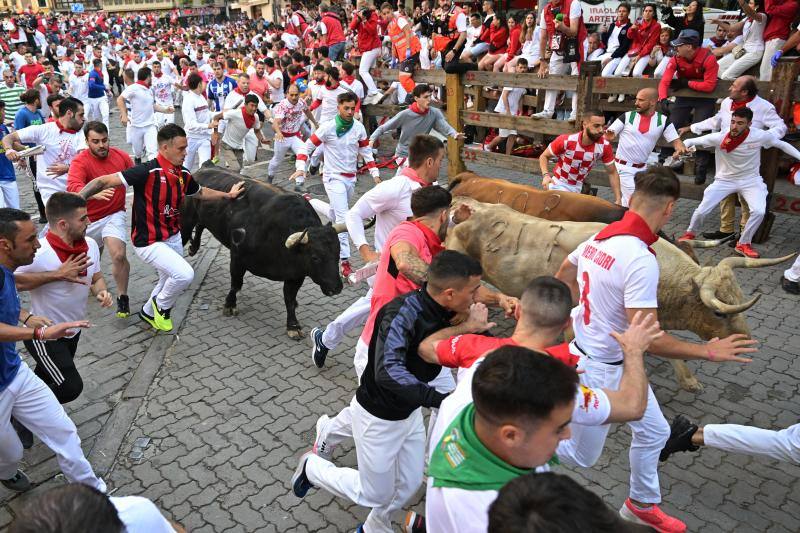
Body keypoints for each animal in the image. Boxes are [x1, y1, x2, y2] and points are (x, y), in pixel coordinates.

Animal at [181, 166, 344, 338]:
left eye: (338, 255)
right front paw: (230, 305)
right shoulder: (237, 257)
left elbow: (290, 299)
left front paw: (293, 326)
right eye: (315, 257)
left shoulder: (296, 274)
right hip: (186, 220)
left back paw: (193, 247)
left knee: (200, 225)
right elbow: (236, 284)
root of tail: (204, 168)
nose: (336, 287)